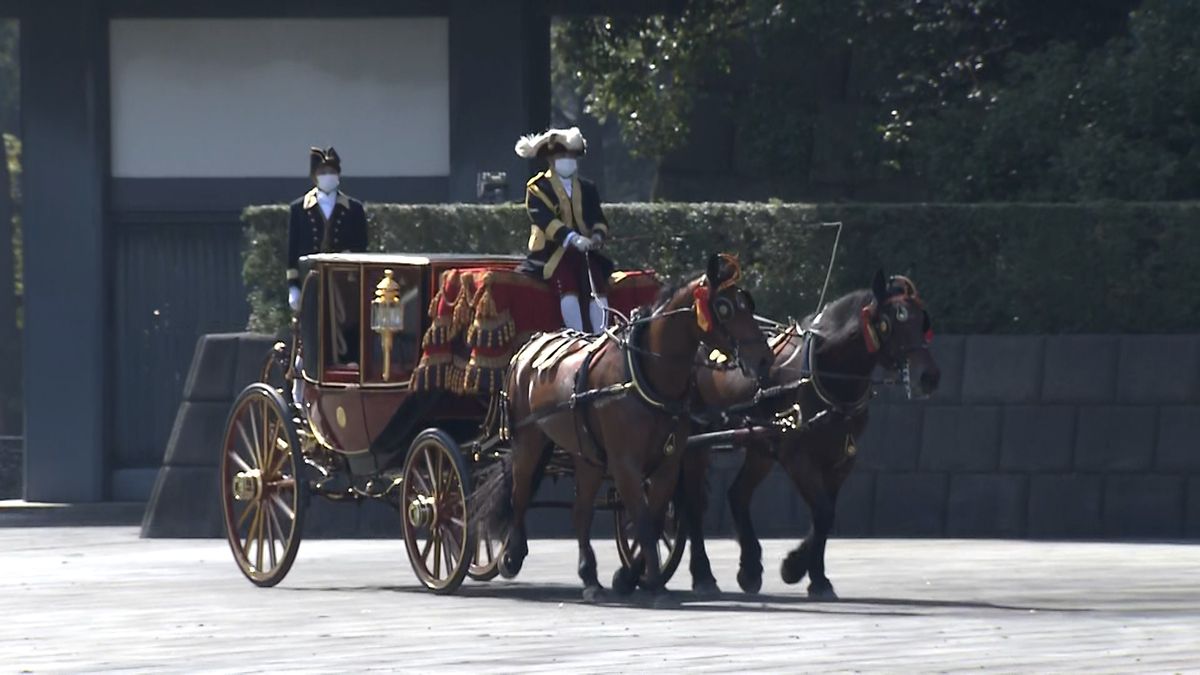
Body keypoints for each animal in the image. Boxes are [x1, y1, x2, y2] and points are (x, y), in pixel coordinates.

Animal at [472, 252, 772, 598]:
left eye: (747, 303)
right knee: (519, 494)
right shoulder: (625, 461)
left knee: (581, 511)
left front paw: (634, 577)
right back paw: (512, 554)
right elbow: (642, 517)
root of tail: (528, 347)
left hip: (585, 454)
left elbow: (653, 519)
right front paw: (651, 582)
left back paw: (590, 577)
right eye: (724, 307)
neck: (644, 373)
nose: (764, 358)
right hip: (529, 440)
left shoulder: (669, 460)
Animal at [681, 270, 940, 595]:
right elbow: (823, 511)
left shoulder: (841, 459)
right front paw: (797, 568)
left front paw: (813, 574)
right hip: (696, 439)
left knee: (737, 494)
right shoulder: (796, 457)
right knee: (693, 502)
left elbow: (825, 517)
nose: (929, 377)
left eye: (921, 320)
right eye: (892, 321)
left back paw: (750, 568)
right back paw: (703, 574)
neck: (825, 373)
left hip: (760, 445)